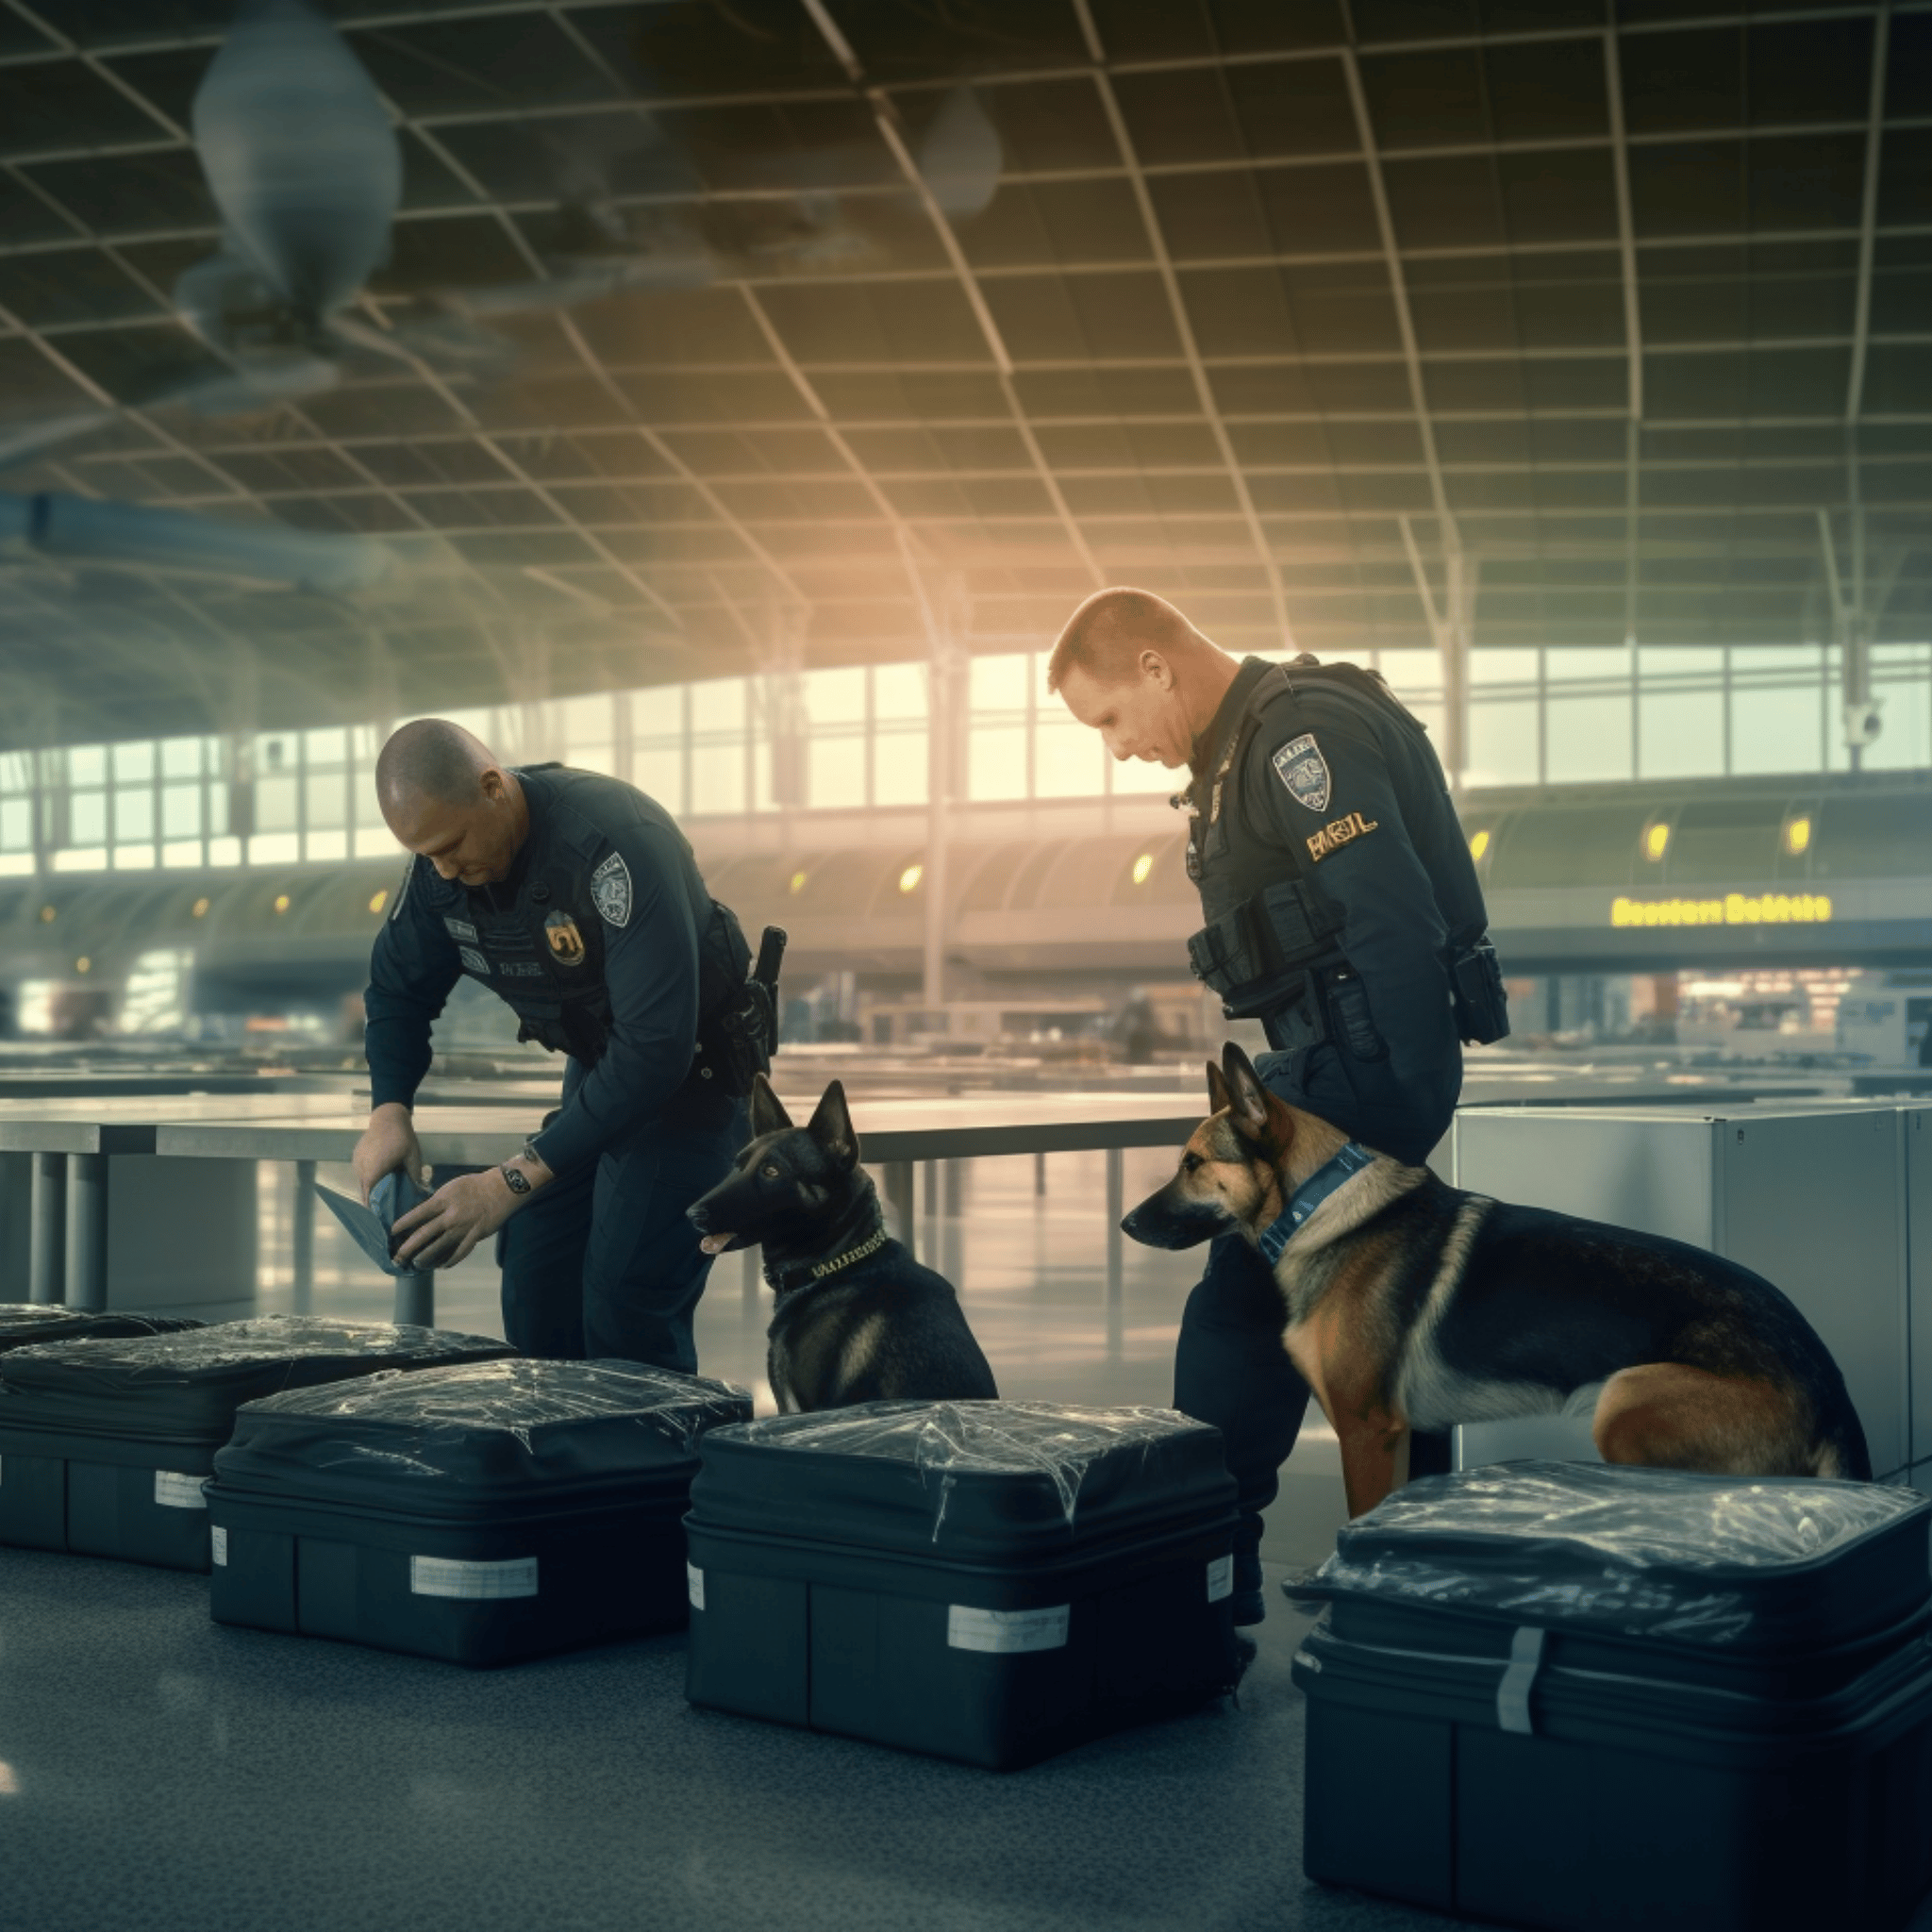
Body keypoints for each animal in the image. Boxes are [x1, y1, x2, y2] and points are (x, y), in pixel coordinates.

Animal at [1128, 1051, 1862, 1514]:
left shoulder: (1365, 1433)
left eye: (1192, 1164)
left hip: (1623, 1401)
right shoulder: (1396, 1436)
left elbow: (1356, 1520)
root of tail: (1825, 1375)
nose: (1127, 1222)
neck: (1327, 1207)